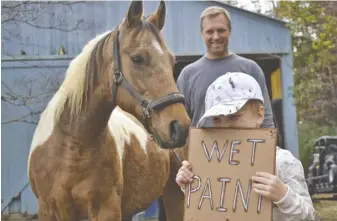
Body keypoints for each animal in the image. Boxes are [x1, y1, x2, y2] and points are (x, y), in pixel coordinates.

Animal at [26, 0, 190, 220]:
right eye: (137, 59)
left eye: (172, 61)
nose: (179, 127)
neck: (71, 147)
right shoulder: (48, 210)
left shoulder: (106, 208)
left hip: (175, 194)